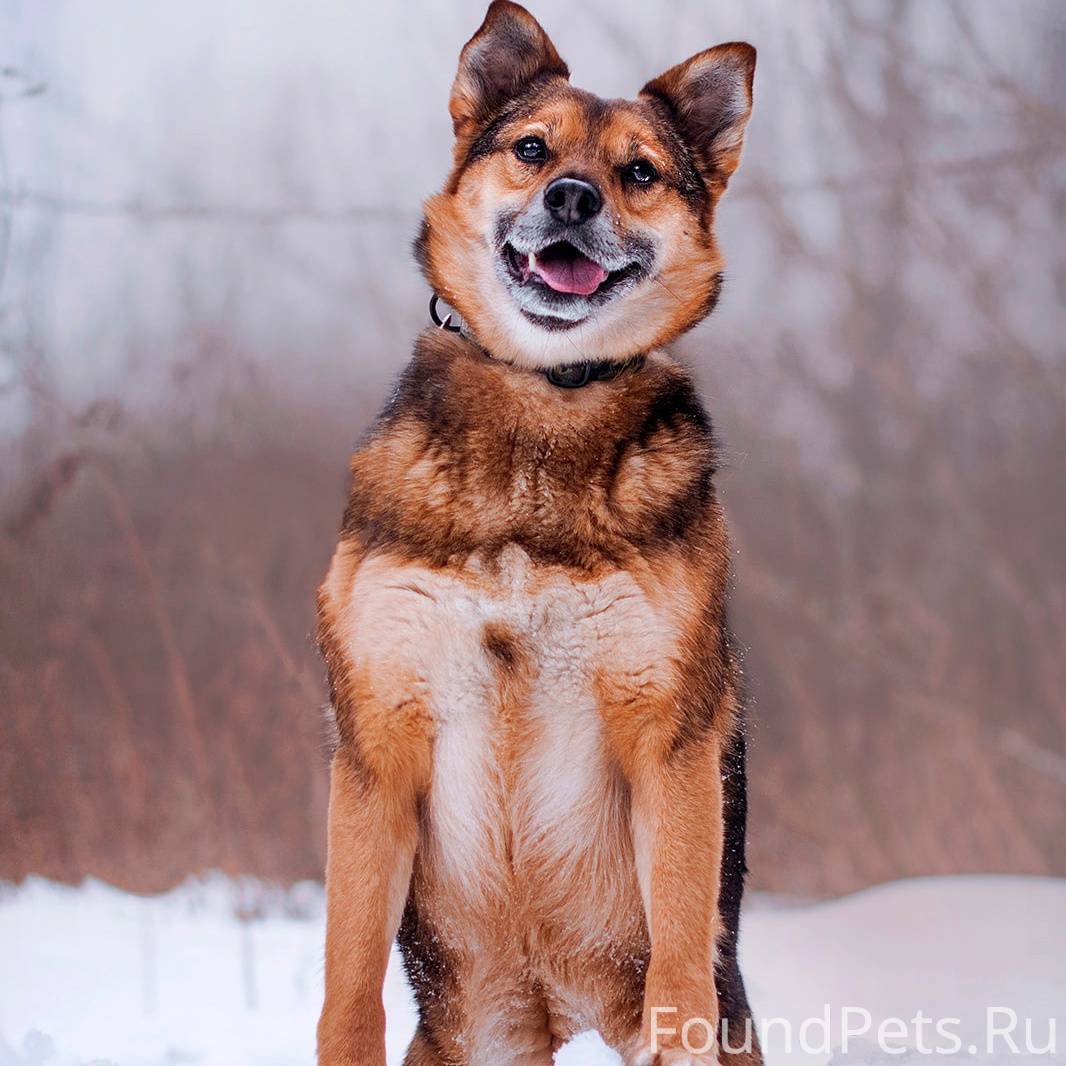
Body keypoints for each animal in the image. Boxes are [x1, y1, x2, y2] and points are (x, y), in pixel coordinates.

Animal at [313, 4, 758, 1061]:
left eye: (639, 171)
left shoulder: (669, 735)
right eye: (531, 149)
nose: (571, 197)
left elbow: (683, 945)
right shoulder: (376, 745)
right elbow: (347, 979)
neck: (541, 415)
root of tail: (549, 1001)